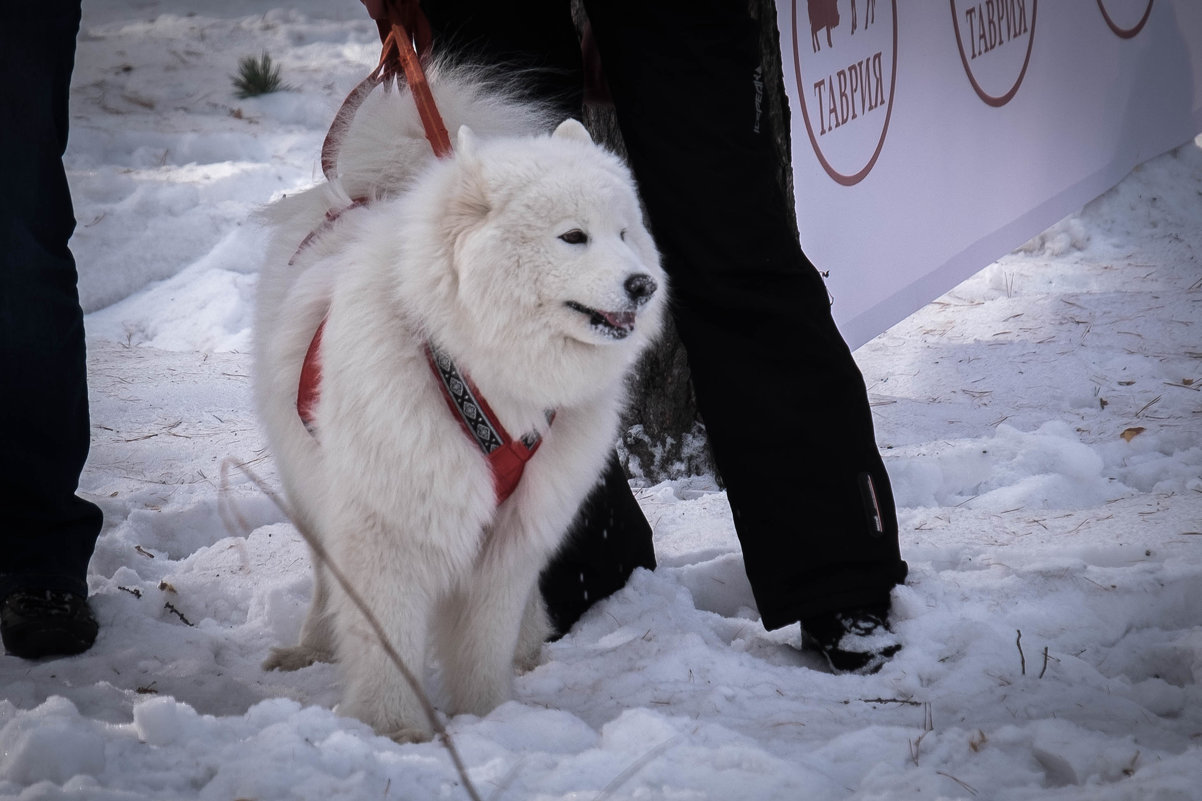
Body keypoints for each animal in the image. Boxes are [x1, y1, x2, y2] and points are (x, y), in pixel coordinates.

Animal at [254, 65, 668, 740]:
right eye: (573, 236)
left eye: (625, 233)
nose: (644, 285)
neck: (479, 369)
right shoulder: (389, 525)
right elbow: (387, 641)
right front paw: (395, 731)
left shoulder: (514, 533)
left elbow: (482, 641)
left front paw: (490, 716)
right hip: (310, 483)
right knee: (322, 577)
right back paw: (309, 647)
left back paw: (528, 650)